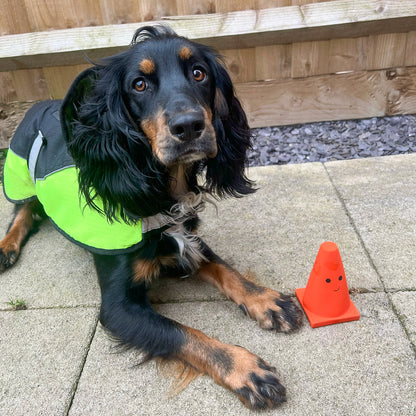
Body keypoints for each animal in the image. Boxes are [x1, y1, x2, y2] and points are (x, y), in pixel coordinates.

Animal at [1, 26, 304, 410]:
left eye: (199, 73)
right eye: (139, 84)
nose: (189, 126)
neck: (161, 195)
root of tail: (37, 104)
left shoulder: (185, 238)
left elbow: (226, 270)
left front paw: (266, 300)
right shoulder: (119, 309)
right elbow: (183, 334)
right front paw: (245, 368)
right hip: (20, 174)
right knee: (23, 210)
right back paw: (6, 247)